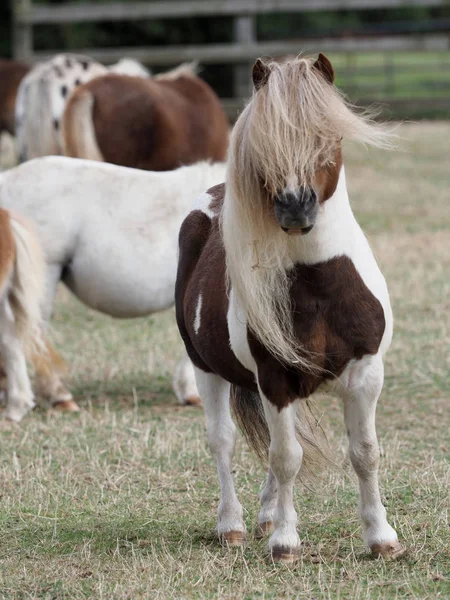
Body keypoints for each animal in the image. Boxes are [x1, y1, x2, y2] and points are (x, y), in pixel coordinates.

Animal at [176, 55, 404, 564]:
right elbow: (286, 458)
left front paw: (381, 538)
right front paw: (284, 542)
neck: (322, 285)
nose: (295, 207)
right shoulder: (275, 378)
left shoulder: (366, 373)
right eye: (263, 146)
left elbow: (364, 452)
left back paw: (263, 515)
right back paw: (233, 525)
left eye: (328, 136)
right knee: (223, 442)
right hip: (206, 368)